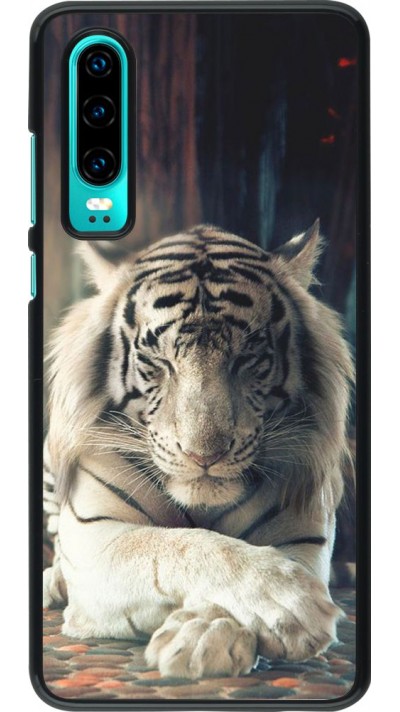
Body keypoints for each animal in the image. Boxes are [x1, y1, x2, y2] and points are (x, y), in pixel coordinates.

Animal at [43, 220, 354, 680]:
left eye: (248, 358)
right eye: (158, 361)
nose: (203, 456)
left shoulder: (303, 536)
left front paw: (205, 636)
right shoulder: (96, 537)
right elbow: (180, 545)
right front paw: (289, 602)